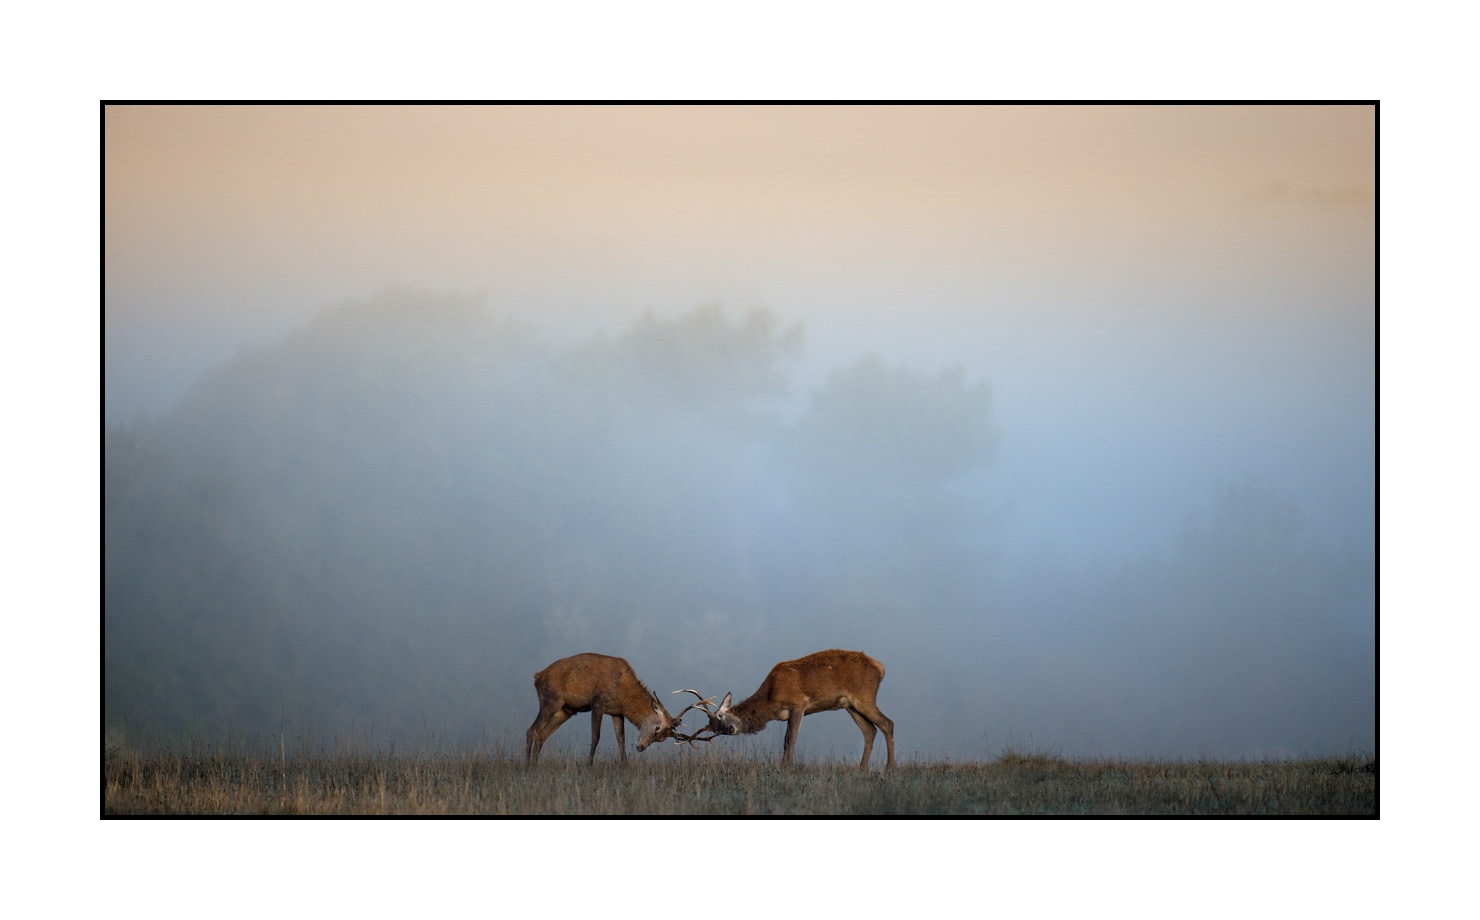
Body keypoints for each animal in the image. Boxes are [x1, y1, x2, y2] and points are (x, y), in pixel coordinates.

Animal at [525, 653, 679, 765]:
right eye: (657, 727)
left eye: (661, 739)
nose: (640, 747)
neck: (624, 697)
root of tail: (537, 677)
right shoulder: (597, 703)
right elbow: (596, 736)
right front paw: (589, 764)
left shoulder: (617, 713)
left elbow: (621, 739)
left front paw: (625, 765)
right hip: (550, 701)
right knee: (531, 730)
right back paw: (528, 765)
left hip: (565, 711)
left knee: (541, 735)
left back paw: (535, 764)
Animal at [672, 649, 896, 770]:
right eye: (715, 730)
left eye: (720, 715)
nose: (729, 729)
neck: (770, 700)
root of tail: (881, 668)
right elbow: (785, 741)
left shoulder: (798, 704)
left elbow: (791, 740)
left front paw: (786, 767)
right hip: (849, 704)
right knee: (870, 730)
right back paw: (862, 768)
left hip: (864, 696)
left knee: (887, 723)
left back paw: (889, 769)